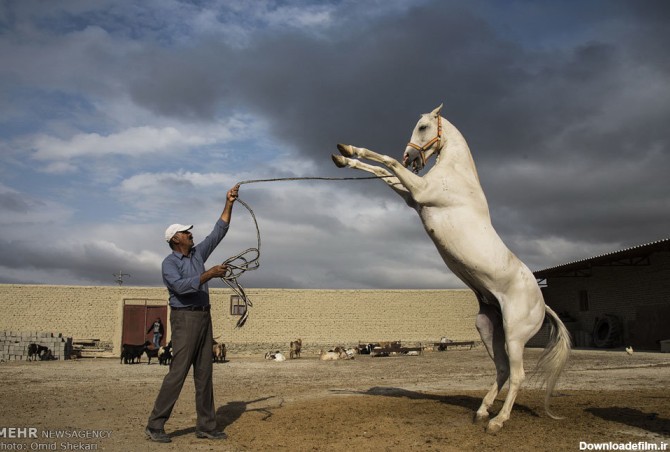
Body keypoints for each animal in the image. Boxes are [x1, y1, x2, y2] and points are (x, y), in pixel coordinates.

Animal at [334, 104, 568, 432]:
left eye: (422, 127)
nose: (411, 157)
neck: (458, 175)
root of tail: (542, 304)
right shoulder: (411, 197)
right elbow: (383, 172)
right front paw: (344, 155)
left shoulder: (420, 191)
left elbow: (387, 163)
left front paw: (348, 152)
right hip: (489, 330)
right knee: (502, 370)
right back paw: (482, 411)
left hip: (514, 334)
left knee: (517, 374)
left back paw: (497, 421)